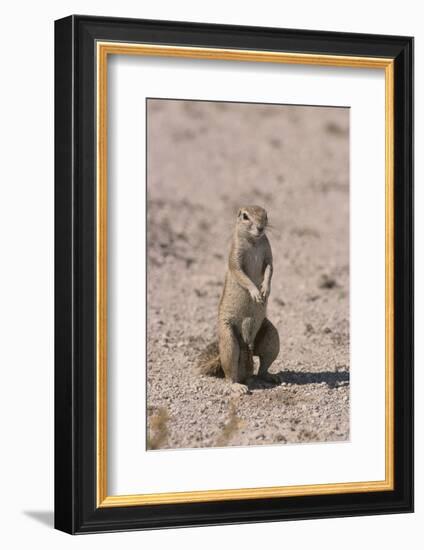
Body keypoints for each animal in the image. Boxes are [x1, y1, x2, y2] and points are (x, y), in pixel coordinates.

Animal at [197, 205, 280, 394]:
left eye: (266, 215)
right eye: (245, 216)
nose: (261, 228)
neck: (253, 241)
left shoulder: (268, 253)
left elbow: (270, 269)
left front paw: (266, 289)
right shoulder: (235, 256)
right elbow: (241, 274)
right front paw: (256, 292)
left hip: (272, 337)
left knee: (261, 368)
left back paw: (268, 377)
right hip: (228, 341)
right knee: (230, 373)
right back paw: (237, 386)